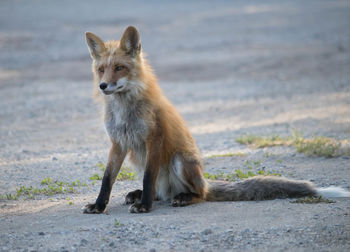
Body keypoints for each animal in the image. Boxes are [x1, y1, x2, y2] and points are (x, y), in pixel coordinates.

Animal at [82, 26, 350, 214]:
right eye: (101, 70)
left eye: (119, 67)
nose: (103, 86)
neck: (124, 111)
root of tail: (204, 182)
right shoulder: (118, 143)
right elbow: (107, 179)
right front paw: (99, 206)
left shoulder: (154, 138)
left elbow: (149, 178)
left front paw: (145, 207)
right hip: (137, 160)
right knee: (160, 192)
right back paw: (143, 195)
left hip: (180, 161)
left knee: (196, 194)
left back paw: (182, 198)